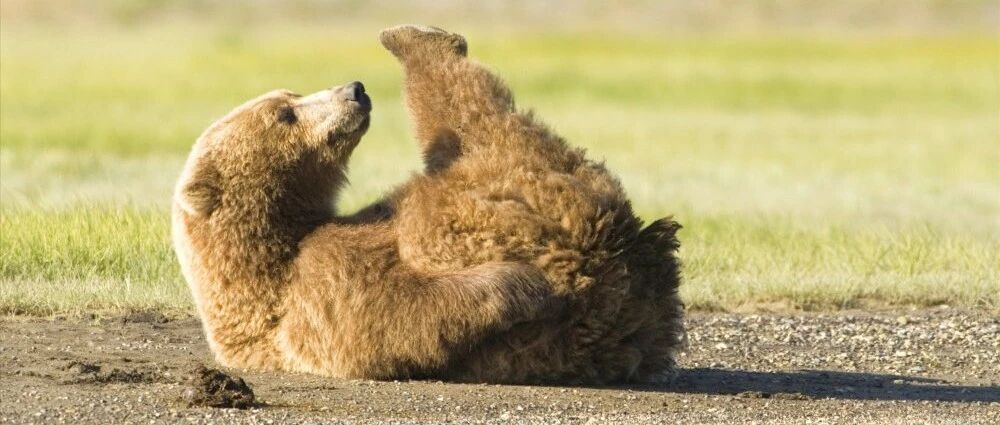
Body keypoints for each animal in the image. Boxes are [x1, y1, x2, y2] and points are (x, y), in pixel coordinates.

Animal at [171, 25, 684, 384]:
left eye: (290, 96)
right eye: (285, 113)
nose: (354, 90)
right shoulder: (316, 302)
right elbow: (400, 314)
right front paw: (523, 285)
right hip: (494, 196)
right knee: (478, 121)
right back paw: (418, 39)